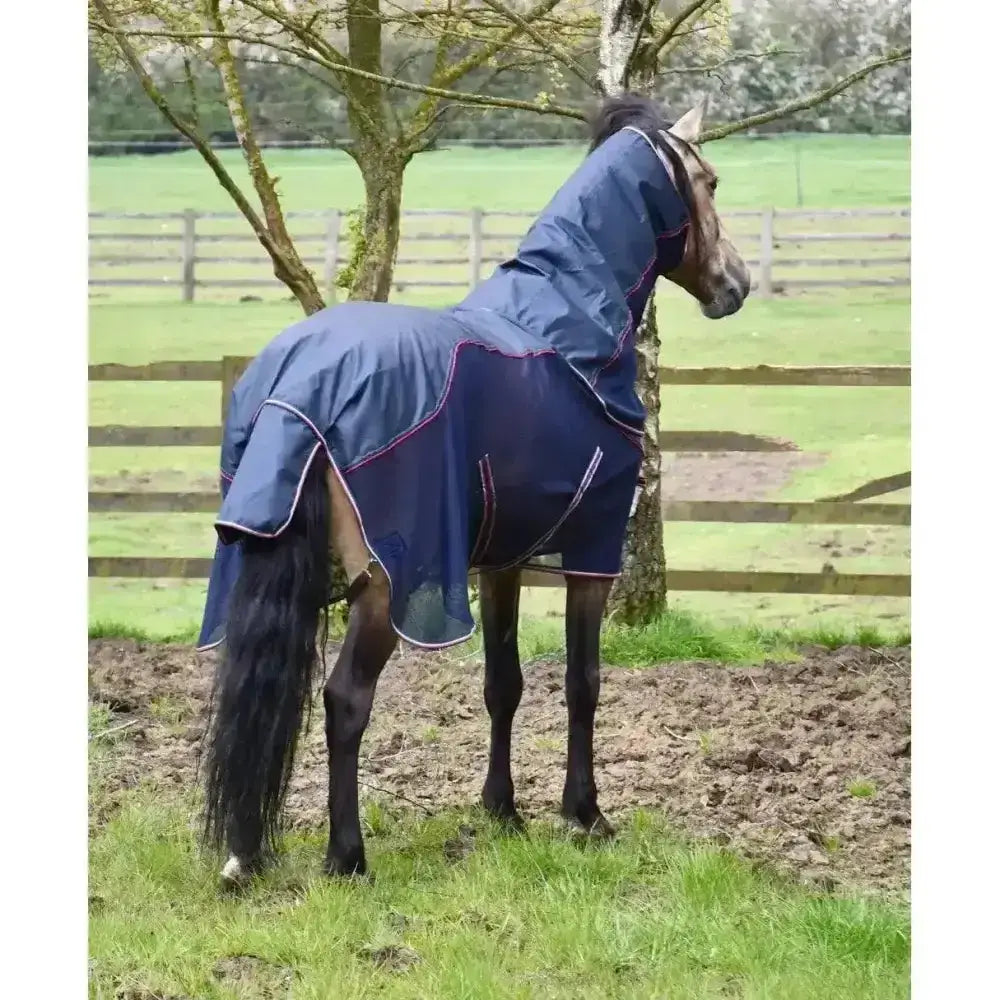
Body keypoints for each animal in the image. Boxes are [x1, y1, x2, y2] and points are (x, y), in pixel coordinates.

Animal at [196, 93, 751, 886]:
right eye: (709, 182)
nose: (736, 285)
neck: (567, 323)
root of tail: (299, 383)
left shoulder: (502, 561)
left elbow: (503, 683)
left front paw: (502, 811)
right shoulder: (593, 551)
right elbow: (583, 682)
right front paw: (585, 815)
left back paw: (244, 857)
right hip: (385, 583)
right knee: (344, 699)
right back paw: (348, 857)